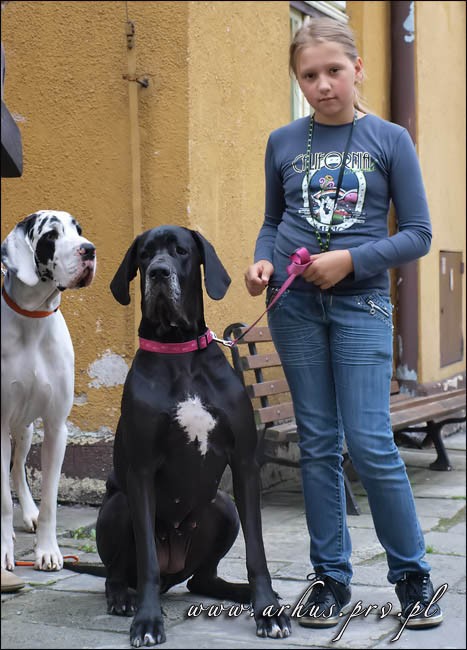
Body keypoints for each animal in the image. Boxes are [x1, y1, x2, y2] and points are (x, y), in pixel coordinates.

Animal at [1, 210, 96, 573]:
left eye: (78, 230)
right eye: (51, 235)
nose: (89, 250)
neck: (33, 320)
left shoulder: (56, 428)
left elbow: (50, 503)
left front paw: (48, 551)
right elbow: (3, 502)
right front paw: (4, 551)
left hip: (25, 429)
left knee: (17, 469)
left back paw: (28, 512)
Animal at [95, 225, 291, 646]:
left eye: (181, 251)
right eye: (144, 254)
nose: (158, 273)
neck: (179, 352)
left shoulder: (244, 463)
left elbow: (257, 551)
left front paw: (267, 609)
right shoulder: (140, 472)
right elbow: (148, 561)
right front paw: (147, 621)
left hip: (223, 507)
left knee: (203, 579)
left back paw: (240, 592)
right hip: (119, 505)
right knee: (119, 573)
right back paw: (122, 597)